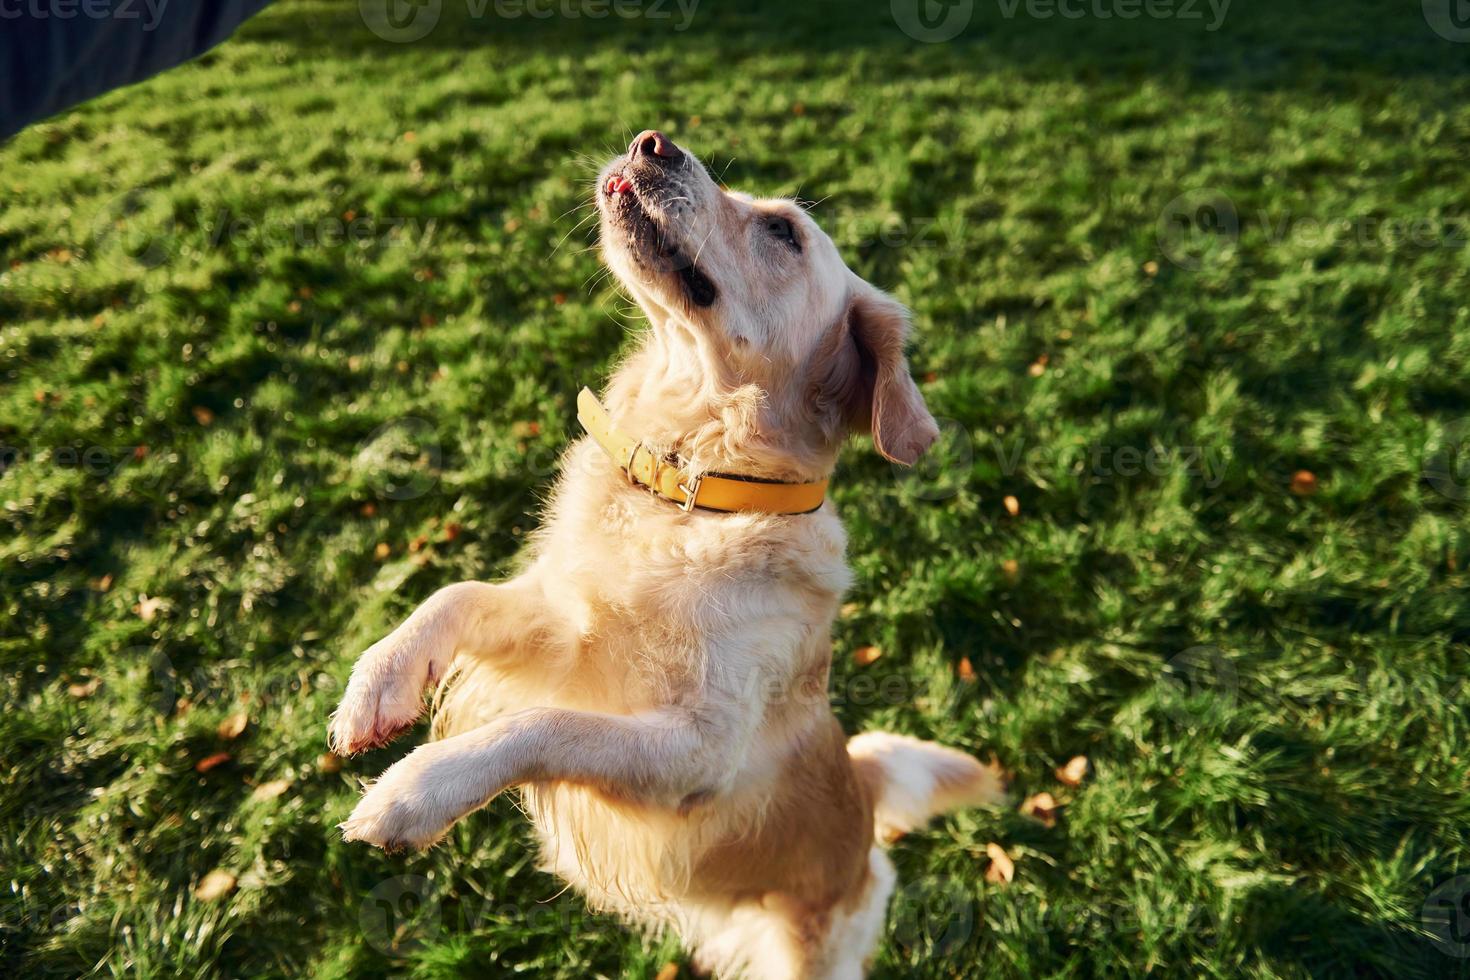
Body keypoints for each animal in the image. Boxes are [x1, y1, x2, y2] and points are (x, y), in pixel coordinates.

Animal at [327, 132, 1005, 980]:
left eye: (782, 231)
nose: (653, 142)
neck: (693, 486)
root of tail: (865, 789)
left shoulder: (699, 750)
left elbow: (544, 726)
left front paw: (417, 790)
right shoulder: (565, 626)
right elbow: (458, 593)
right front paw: (378, 684)